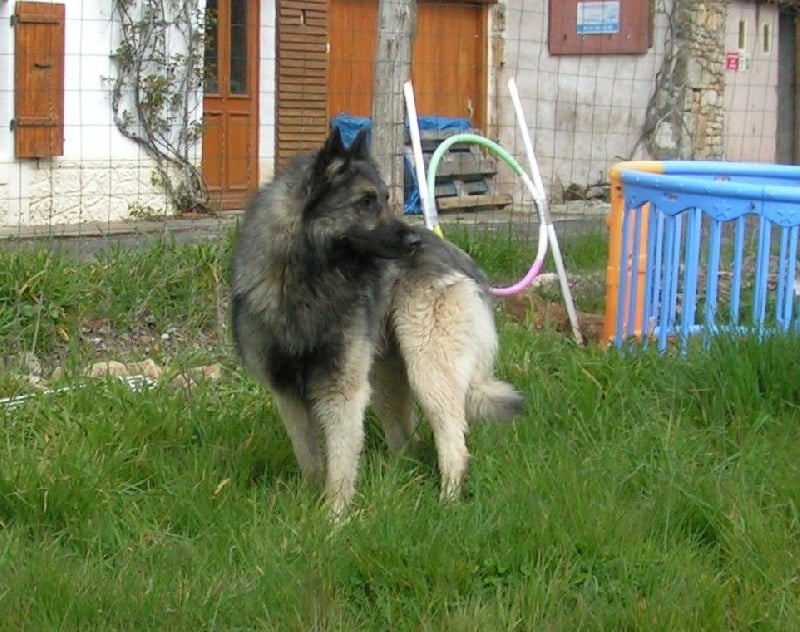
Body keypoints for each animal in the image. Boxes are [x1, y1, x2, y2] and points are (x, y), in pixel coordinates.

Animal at [230, 128, 524, 520]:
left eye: (385, 198)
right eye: (365, 201)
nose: (413, 242)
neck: (307, 278)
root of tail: (459, 257)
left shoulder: (341, 391)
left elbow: (340, 465)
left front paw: (334, 519)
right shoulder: (288, 394)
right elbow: (309, 458)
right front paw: (311, 501)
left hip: (427, 368)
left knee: (453, 443)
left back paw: (445, 504)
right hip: (385, 374)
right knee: (406, 434)